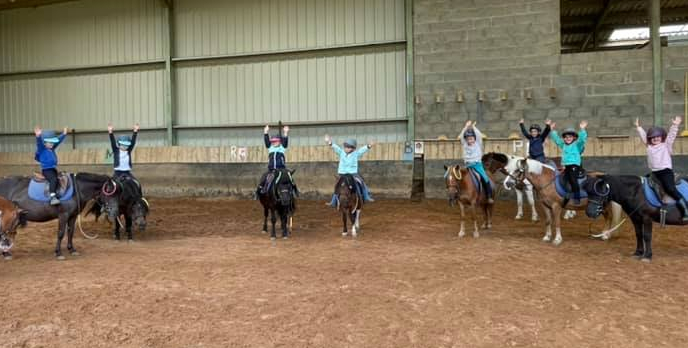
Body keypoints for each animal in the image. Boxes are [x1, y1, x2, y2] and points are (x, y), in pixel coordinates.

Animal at [494, 155, 624, 245]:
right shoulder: (545, 205)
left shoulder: (556, 206)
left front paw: (557, 239)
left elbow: (556, 222)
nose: (507, 184)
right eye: (508, 169)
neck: (546, 180)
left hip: (603, 205)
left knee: (609, 217)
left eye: (518, 170)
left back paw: (605, 235)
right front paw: (547, 237)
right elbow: (548, 221)